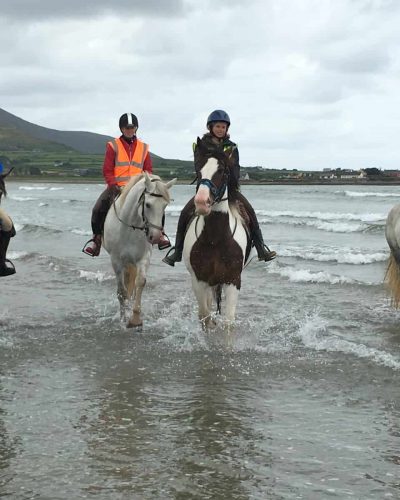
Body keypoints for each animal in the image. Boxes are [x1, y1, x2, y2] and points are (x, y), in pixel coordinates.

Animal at [184, 140, 250, 328]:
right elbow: (205, 317)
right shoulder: (199, 281)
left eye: (222, 171)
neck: (215, 239)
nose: (201, 202)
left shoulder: (233, 281)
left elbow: (228, 322)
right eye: (198, 170)